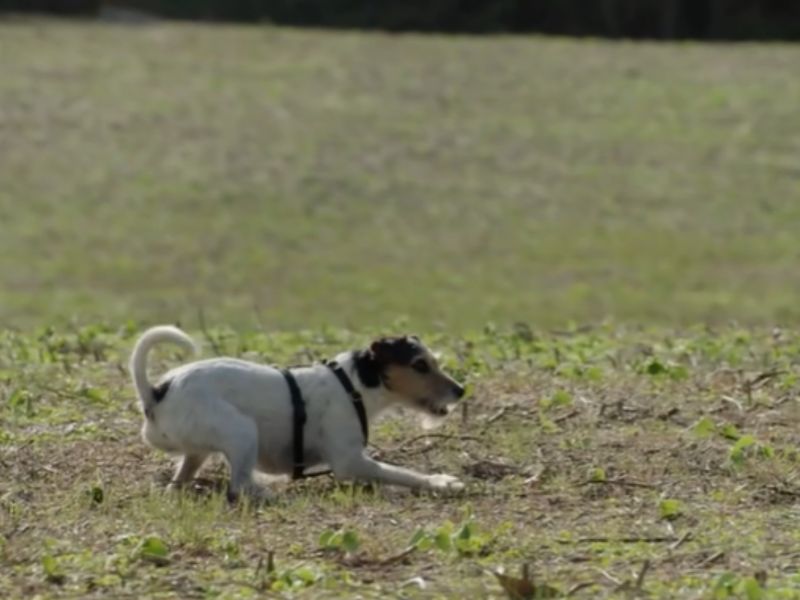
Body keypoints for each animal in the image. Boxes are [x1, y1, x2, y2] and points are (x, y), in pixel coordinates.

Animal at [128, 324, 468, 502]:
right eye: (419, 365)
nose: (460, 391)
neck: (354, 383)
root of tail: (156, 393)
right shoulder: (350, 462)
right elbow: (402, 473)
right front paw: (441, 483)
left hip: (198, 453)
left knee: (180, 482)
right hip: (242, 432)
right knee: (239, 486)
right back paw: (269, 495)